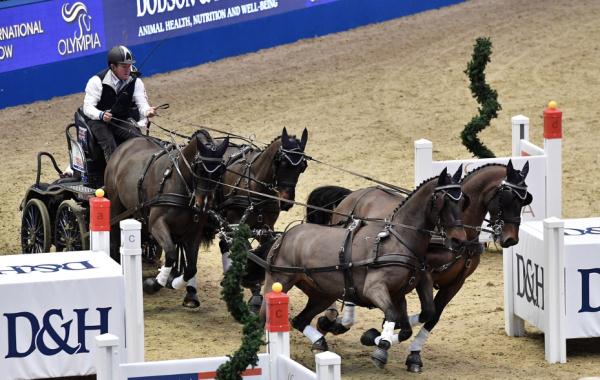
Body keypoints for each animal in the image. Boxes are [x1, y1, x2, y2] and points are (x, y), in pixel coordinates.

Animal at [103, 128, 227, 306]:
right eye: (199, 169)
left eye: (221, 171)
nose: (203, 204)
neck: (179, 182)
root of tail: (124, 146)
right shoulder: (157, 224)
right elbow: (170, 253)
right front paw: (153, 284)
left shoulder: (194, 231)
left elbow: (191, 267)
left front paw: (175, 283)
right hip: (115, 205)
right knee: (113, 236)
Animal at [260, 168, 466, 370]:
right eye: (444, 200)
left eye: (463, 200)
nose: (459, 240)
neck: (399, 241)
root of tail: (286, 235)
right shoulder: (374, 288)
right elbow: (393, 315)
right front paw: (380, 347)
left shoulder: (402, 291)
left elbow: (413, 322)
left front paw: (376, 337)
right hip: (279, 281)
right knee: (263, 317)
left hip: (323, 295)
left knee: (299, 320)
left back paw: (320, 342)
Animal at [308, 160, 532, 372]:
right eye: (505, 198)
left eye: (525, 200)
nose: (510, 239)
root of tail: (356, 194)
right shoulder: (425, 275)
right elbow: (417, 313)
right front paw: (382, 337)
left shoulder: (456, 283)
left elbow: (431, 316)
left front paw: (411, 353)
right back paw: (335, 322)